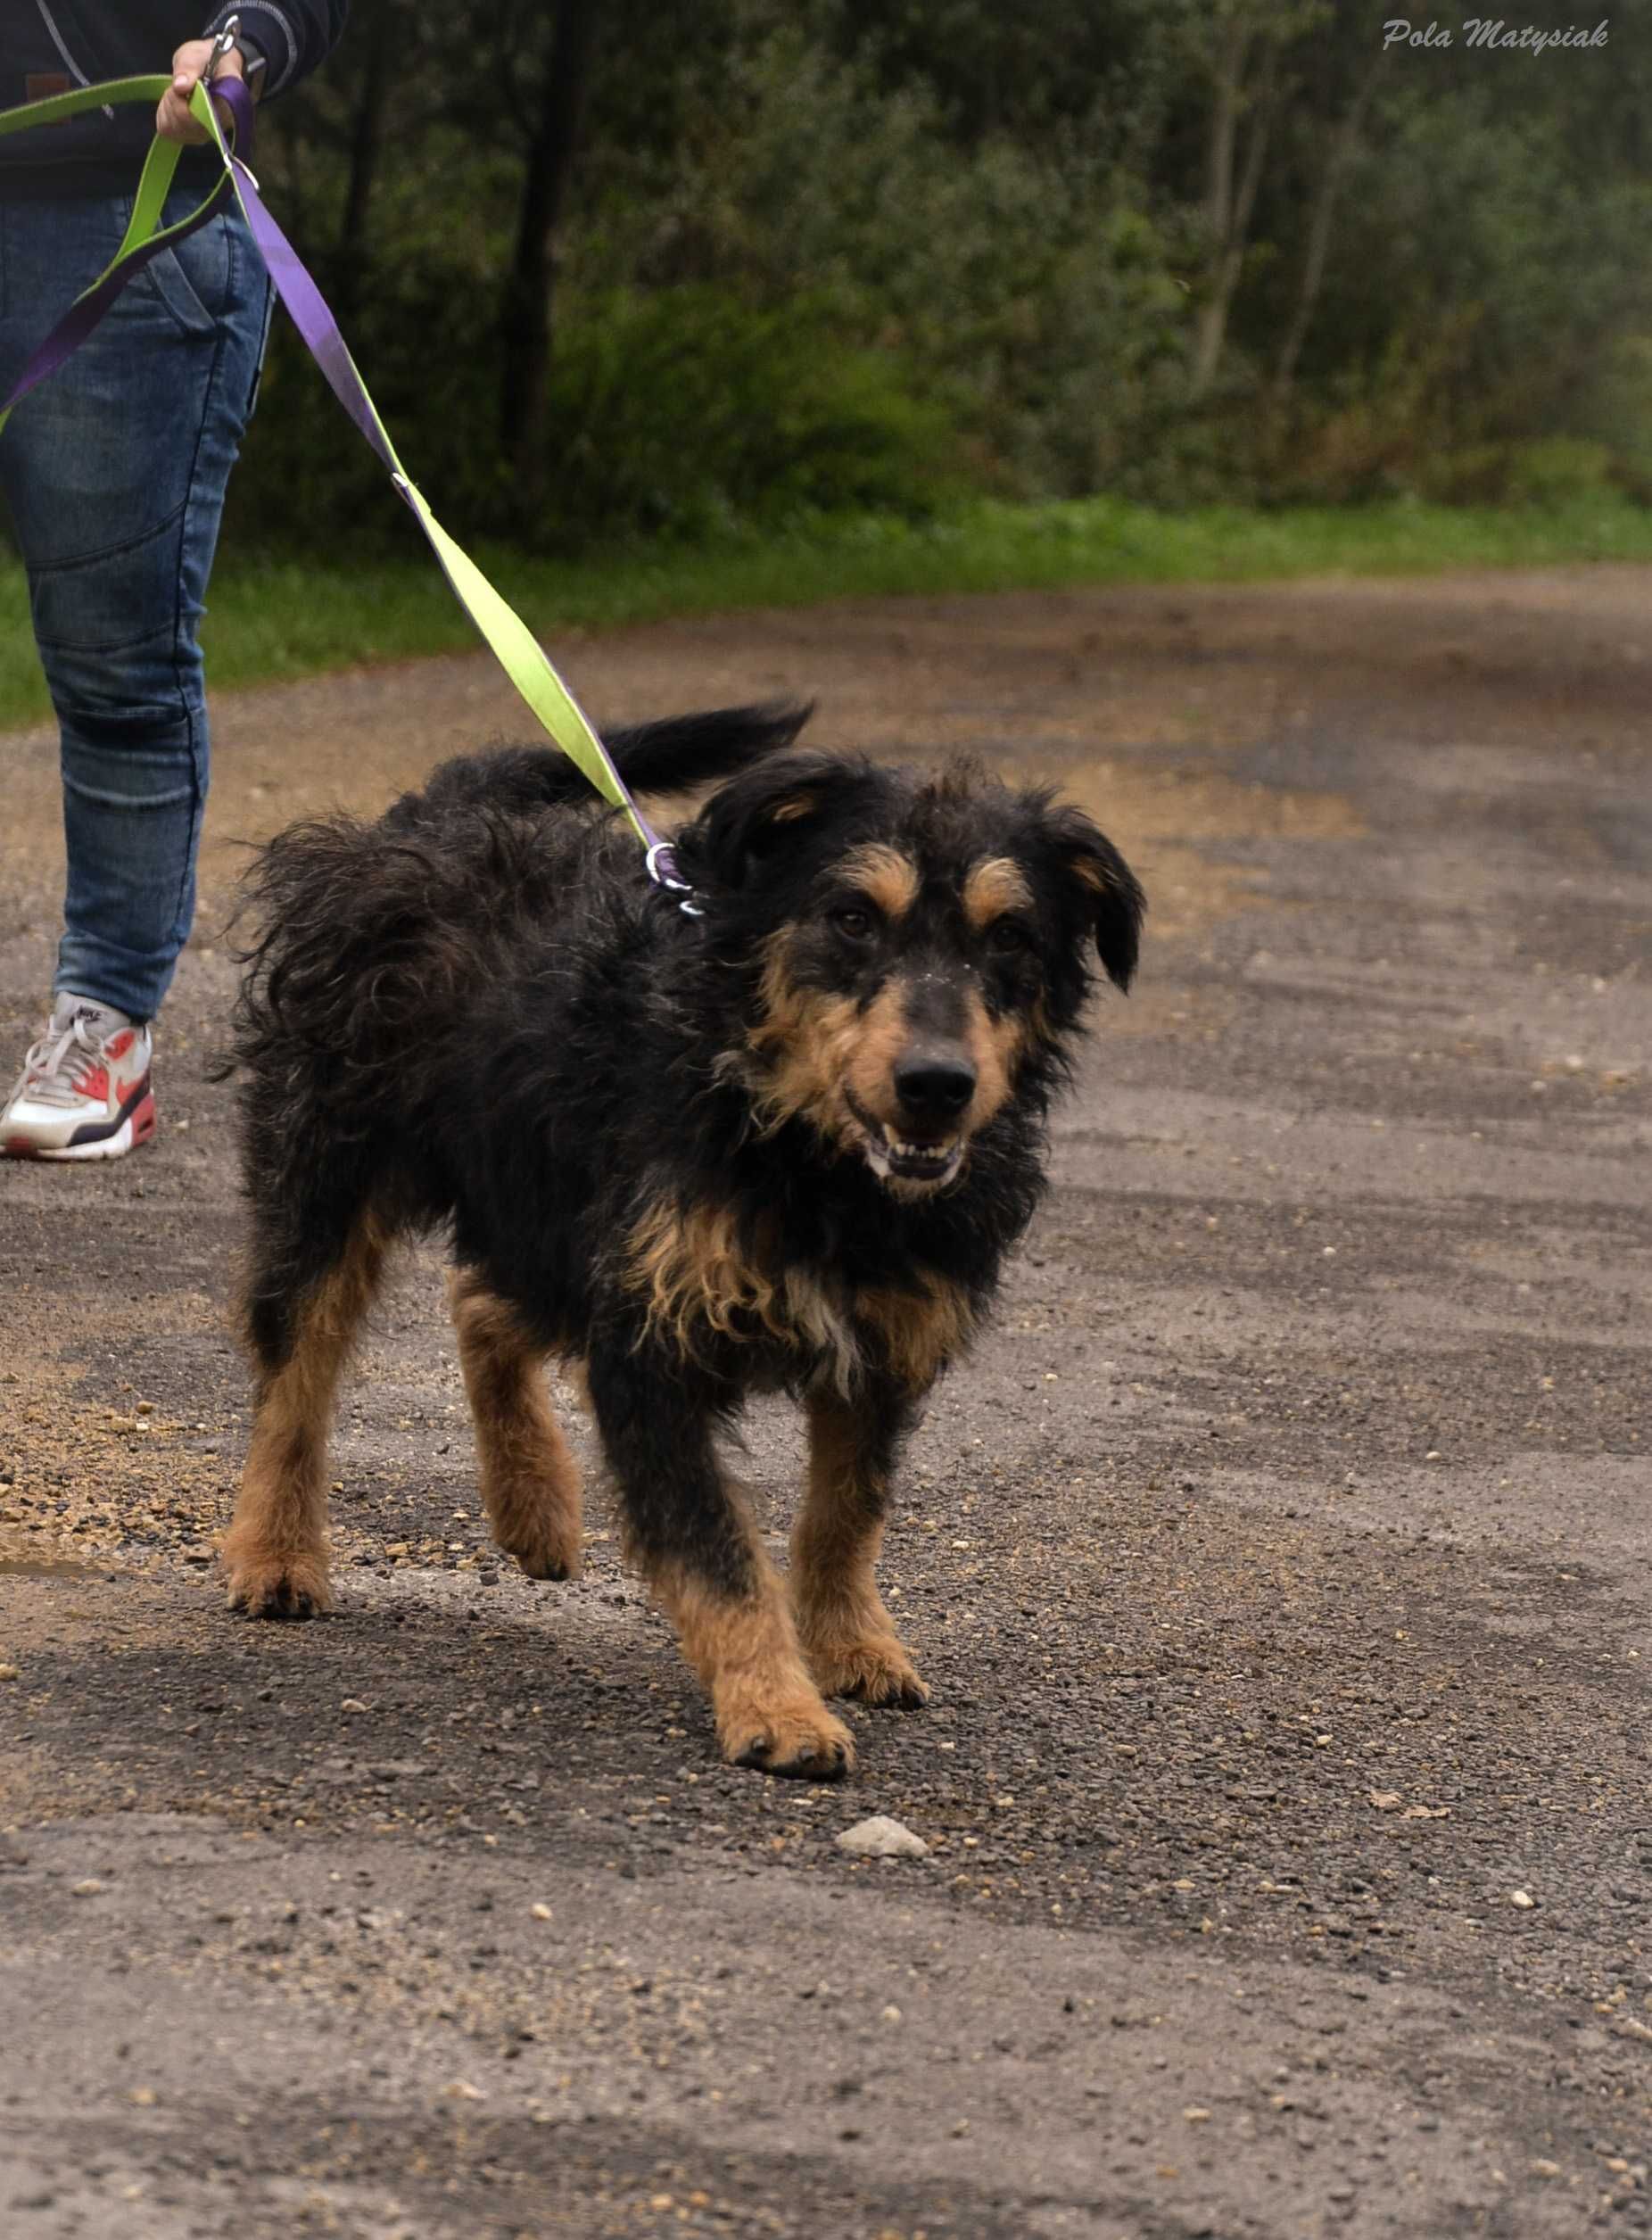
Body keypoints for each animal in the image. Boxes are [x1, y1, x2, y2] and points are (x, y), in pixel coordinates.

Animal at [225, 707, 1136, 1773]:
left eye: (1011, 936)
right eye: (853, 917)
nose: (936, 1085)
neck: (806, 1158)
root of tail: (436, 812)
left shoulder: (875, 1349)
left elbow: (846, 1516)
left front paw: (851, 1645)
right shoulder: (650, 1346)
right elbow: (716, 1551)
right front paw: (778, 1709)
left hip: (558, 1218)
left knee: (482, 1299)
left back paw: (532, 1500)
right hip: (333, 1171)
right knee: (296, 1372)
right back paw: (275, 1551)